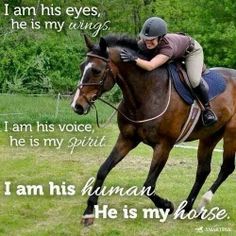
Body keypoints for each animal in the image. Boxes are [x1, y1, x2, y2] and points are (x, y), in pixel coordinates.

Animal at [70, 34, 236, 225]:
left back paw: (202, 204)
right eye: (81, 67)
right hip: (210, 135)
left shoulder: (164, 146)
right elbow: (103, 170)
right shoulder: (126, 139)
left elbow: (148, 185)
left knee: (226, 168)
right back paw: (187, 207)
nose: (77, 106)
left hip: (231, 134)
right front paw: (89, 211)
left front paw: (167, 206)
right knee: (203, 170)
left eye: (96, 71)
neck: (147, 93)